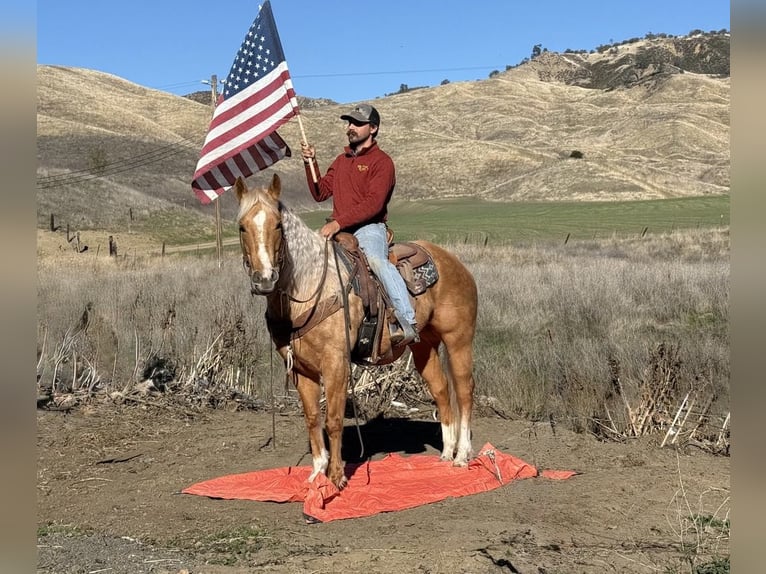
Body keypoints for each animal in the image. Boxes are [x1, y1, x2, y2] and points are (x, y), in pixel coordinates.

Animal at [234, 173, 478, 490]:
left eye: (278, 225)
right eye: (242, 226)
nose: (264, 279)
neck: (312, 287)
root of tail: (454, 262)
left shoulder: (336, 363)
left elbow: (334, 419)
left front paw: (336, 479)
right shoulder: (301, 369)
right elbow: (312, 418)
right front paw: (317, 475)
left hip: (458, 340)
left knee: (463, 389)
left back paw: (462, 456)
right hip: (423, 344)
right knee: (441, 388)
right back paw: (447, 454)